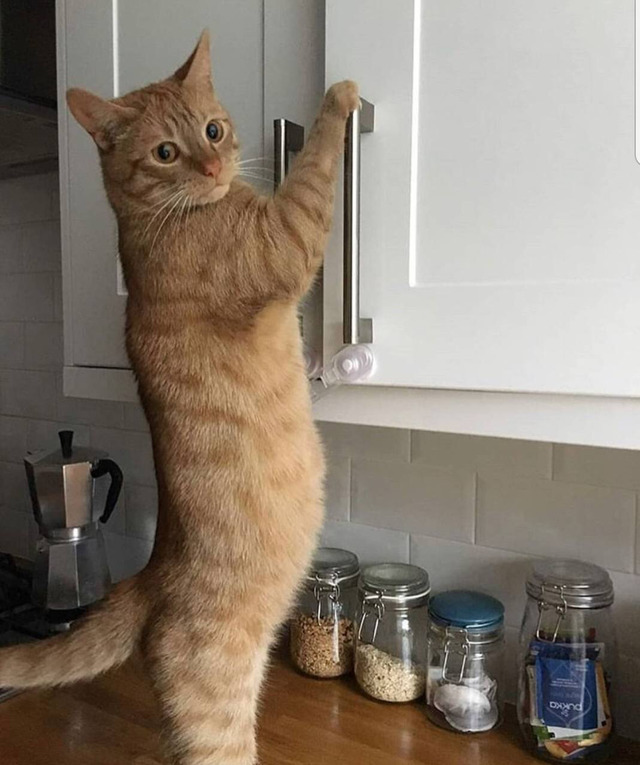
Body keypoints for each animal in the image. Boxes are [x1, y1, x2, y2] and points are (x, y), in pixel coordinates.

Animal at [0, 31, 359, 765]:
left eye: (213, 130)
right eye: (167, 152)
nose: (215, 162)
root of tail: (149, 573)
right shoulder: (287, 236)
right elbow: (313, 164)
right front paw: (338, 95)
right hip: (216, 707)